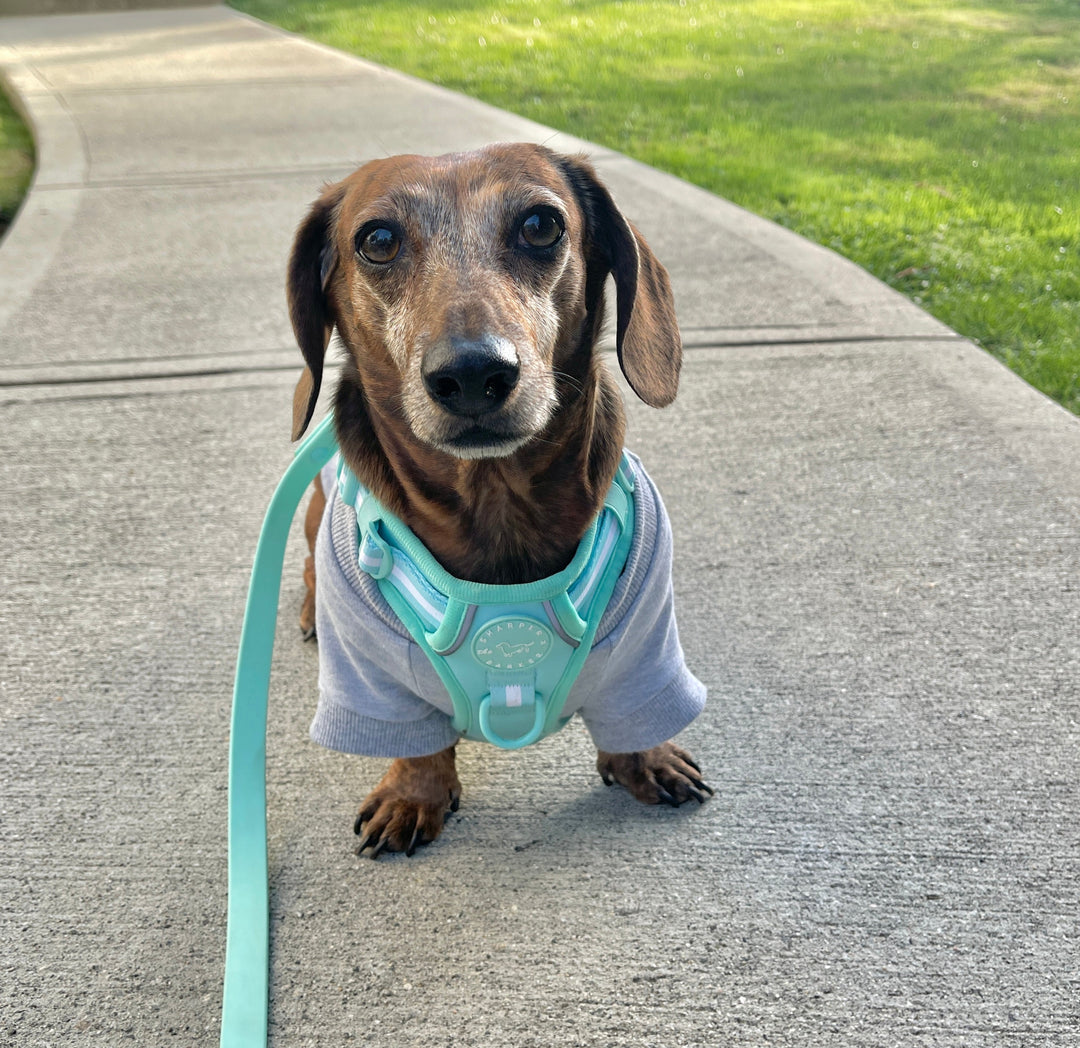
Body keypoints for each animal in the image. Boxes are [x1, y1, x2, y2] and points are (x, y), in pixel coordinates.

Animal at [289, 142, 708, 855]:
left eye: (541, 225)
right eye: (377, 240)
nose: (473, 374)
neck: (494, 501)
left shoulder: (646, 641)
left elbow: (636, 713)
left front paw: (646, 759)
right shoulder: (372, 678)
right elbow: (417, 746)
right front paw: (414, 794)